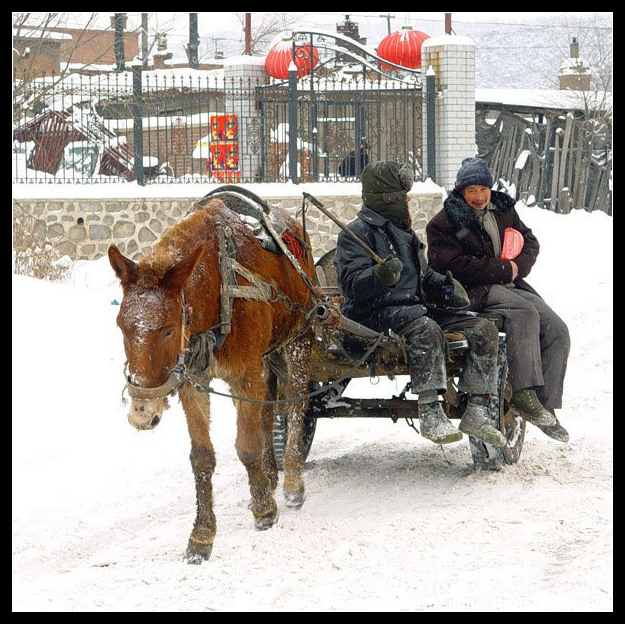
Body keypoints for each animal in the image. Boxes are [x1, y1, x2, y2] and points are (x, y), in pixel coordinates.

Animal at [108, 188, 320, 564]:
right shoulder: (194, 381)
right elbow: (202, 457)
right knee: (269, 414)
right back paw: (269, 477)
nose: (142, 414)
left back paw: (292, 481)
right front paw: (202, 534)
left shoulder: (245, 374)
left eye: (167, 329)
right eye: (121, 325)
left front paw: (264, 510)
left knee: (296, 407)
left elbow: (246, 446)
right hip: (269, 355)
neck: (215, 289)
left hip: (298, 338)